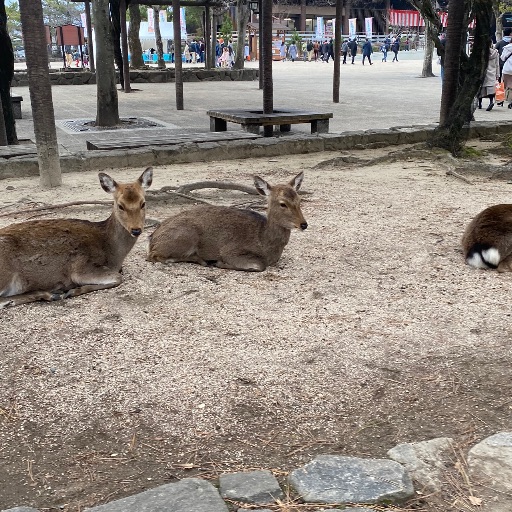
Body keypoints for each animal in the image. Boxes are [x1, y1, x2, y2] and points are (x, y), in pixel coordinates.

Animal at [0, 167, 152, 308]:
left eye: (143, 203)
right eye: (120, 205)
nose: (136, 230)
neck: (112, 255)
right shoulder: (80, 267)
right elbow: (117, 278)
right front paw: (73, 291)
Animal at [147, 171, 308, 272]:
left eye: (299, 200)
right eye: (283, 204)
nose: (304, 224)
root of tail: (152, 239)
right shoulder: (230, 250)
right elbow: (258, 265)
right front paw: (220, 263)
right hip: (186, 236)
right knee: (155, 256)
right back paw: (204, 260)